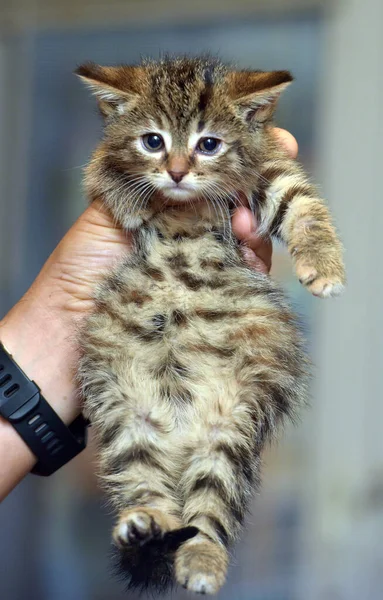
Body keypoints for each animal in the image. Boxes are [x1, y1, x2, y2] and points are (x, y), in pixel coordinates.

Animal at [75, 57, 344, 596]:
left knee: (210, 508)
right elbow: (100, 167)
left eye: (209, 144)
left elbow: (299, 200)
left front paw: (323, 263)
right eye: (152, 141)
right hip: (126, 422)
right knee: (145, 484)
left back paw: (202, 558)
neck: (184, 209)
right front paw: (130, 196)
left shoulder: (265, 163)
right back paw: (146, 526)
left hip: (234, 428)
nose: (177, 172)